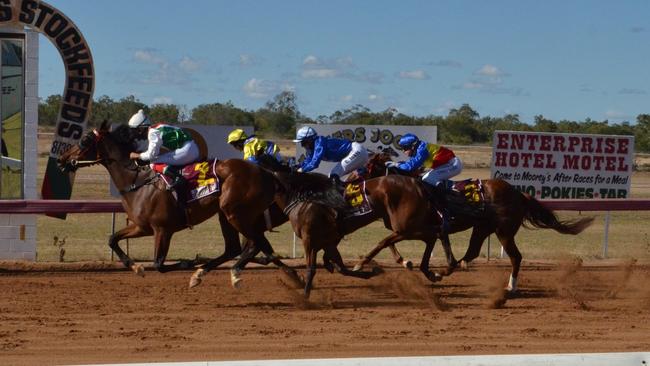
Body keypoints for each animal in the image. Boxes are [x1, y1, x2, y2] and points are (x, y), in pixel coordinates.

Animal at [57, 121, 300, 288]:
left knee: (257, 245)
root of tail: (267, 174)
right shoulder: (142, 227)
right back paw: (204, 274)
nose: (61, 159)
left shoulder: (162, 229)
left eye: (85, 140)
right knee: (238, 248)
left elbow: (159, 265)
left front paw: (188, 262)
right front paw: (137, 267)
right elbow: (112, 239)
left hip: (236, 213)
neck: (137, 182)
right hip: (226, 214)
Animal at [350, 152, 592, 292]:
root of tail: (519, 194)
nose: (348, 183)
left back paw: (510, 286)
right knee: (473, 252)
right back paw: (454, 268)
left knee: (516, 257)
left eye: (363, 169)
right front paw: (411, 264)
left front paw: (360, 264)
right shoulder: (417, 230)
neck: (405, 190)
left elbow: (383, 242)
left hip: (504, 230)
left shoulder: (413, 230)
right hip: (483, 227)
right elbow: (392, 243)